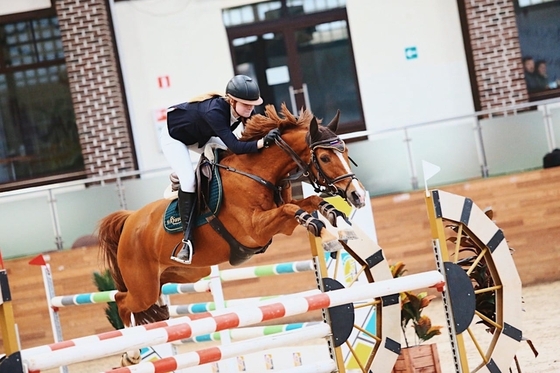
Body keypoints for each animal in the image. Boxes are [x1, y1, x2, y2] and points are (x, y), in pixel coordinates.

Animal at [97, 103, 368, 324]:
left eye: (345, 153)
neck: (257, 173)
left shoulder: (283, 224)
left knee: (150, 300)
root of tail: (129, 221)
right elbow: (293, 209)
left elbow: (310, 202)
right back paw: (132, 349)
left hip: (185, 273)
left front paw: (340, 224)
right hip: (143, 287)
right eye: (324, 157)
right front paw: (329, 235)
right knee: (122, 301)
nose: (358, 195)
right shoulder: (256, 230)